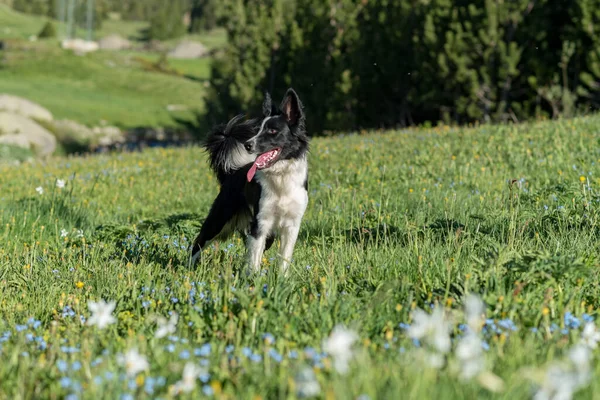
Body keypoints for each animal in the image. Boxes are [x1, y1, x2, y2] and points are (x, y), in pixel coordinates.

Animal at [190, 87, 310, 276]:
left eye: (272, 131)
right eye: (258, 130)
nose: (248, 145)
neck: (280, 176)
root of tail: (232, 173)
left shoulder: (292, 225)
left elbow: (284, 257)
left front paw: (282, 279)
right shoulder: (260, 223)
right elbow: (254, 258)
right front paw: (253, 279)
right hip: (218, 220)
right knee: (197, 243)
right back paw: (186, 270)